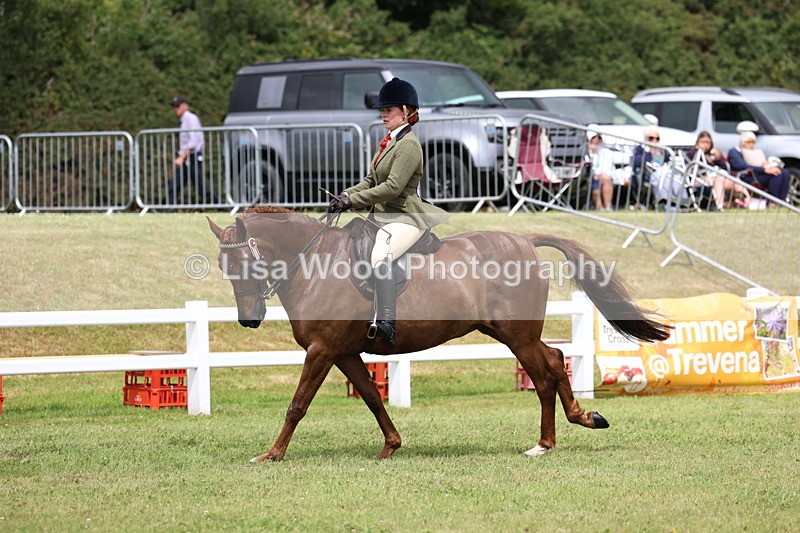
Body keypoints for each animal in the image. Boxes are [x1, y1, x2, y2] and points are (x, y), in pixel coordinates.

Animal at [208, 206, 669, 461]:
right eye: (223, 267)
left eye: (246, 264)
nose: (249, 319)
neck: (313, 262)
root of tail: (524, 239)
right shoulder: (344, 352)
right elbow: (372, 397)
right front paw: (391, 445)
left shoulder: (322, 350)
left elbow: (297, 405)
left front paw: (272, 454)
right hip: (510, 332)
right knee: (554, 362)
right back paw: (571, 425)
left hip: (516, 336)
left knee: (543, 375)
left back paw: (549, 440)